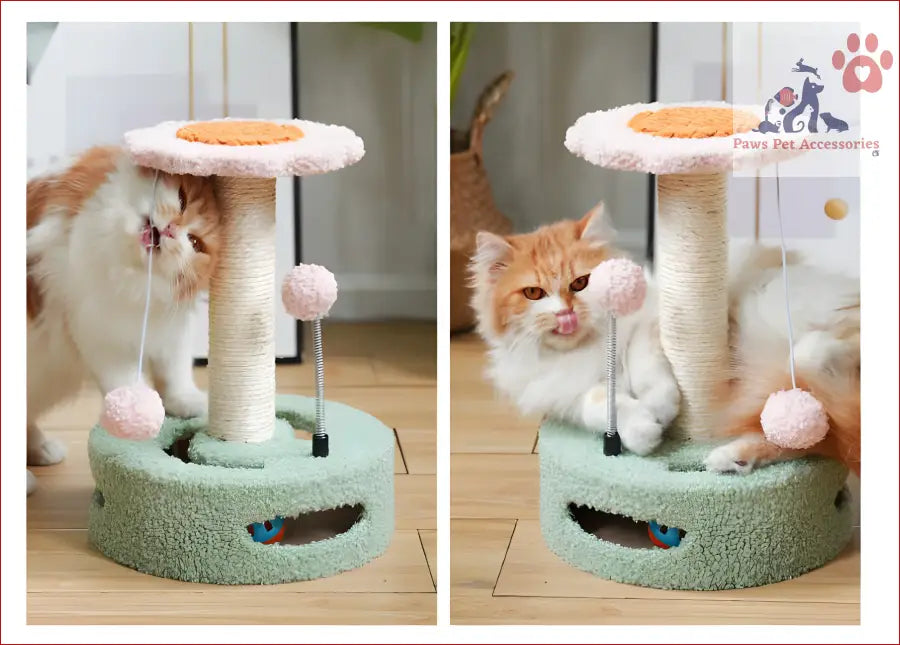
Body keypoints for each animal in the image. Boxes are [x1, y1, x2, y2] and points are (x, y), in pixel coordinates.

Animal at [25, 146, 222, 494]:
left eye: (196, 243)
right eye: (182, 199)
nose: (170, 229)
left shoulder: (164, 329)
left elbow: (175, 373)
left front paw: (187, 403)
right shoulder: (100, 333)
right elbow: (129, 381)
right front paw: (139, 417)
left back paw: (44, 451)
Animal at [468, 205, 860, 472]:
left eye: (580, 283)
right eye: (533, 293)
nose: (565, 314)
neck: (585, 349)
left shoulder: (650, 324)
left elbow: (649, 374)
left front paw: (658, 411)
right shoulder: (566, 397)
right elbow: (602, 405)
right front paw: (642, 433)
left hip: (768, 308)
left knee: (833, 349)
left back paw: (812, 353)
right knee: (804, 431)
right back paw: (729, 459)